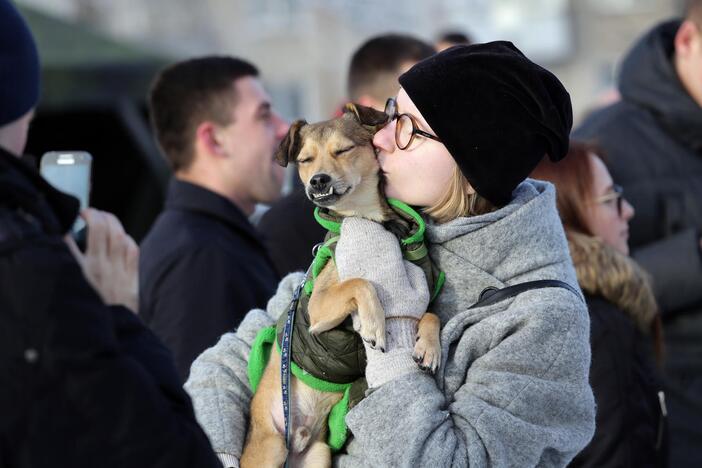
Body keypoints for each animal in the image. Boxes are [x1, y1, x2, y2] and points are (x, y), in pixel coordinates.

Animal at [242, 104, 440, 466]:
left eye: (344, 150)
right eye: (305, 160)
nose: (318, 180)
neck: (364, 218)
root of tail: (295, 442)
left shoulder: (421, 292)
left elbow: (432, 314)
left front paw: (428, 347)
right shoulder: (319, 306)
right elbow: (361, 283)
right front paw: (373, 325)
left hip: (318, 454)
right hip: (271, 447)